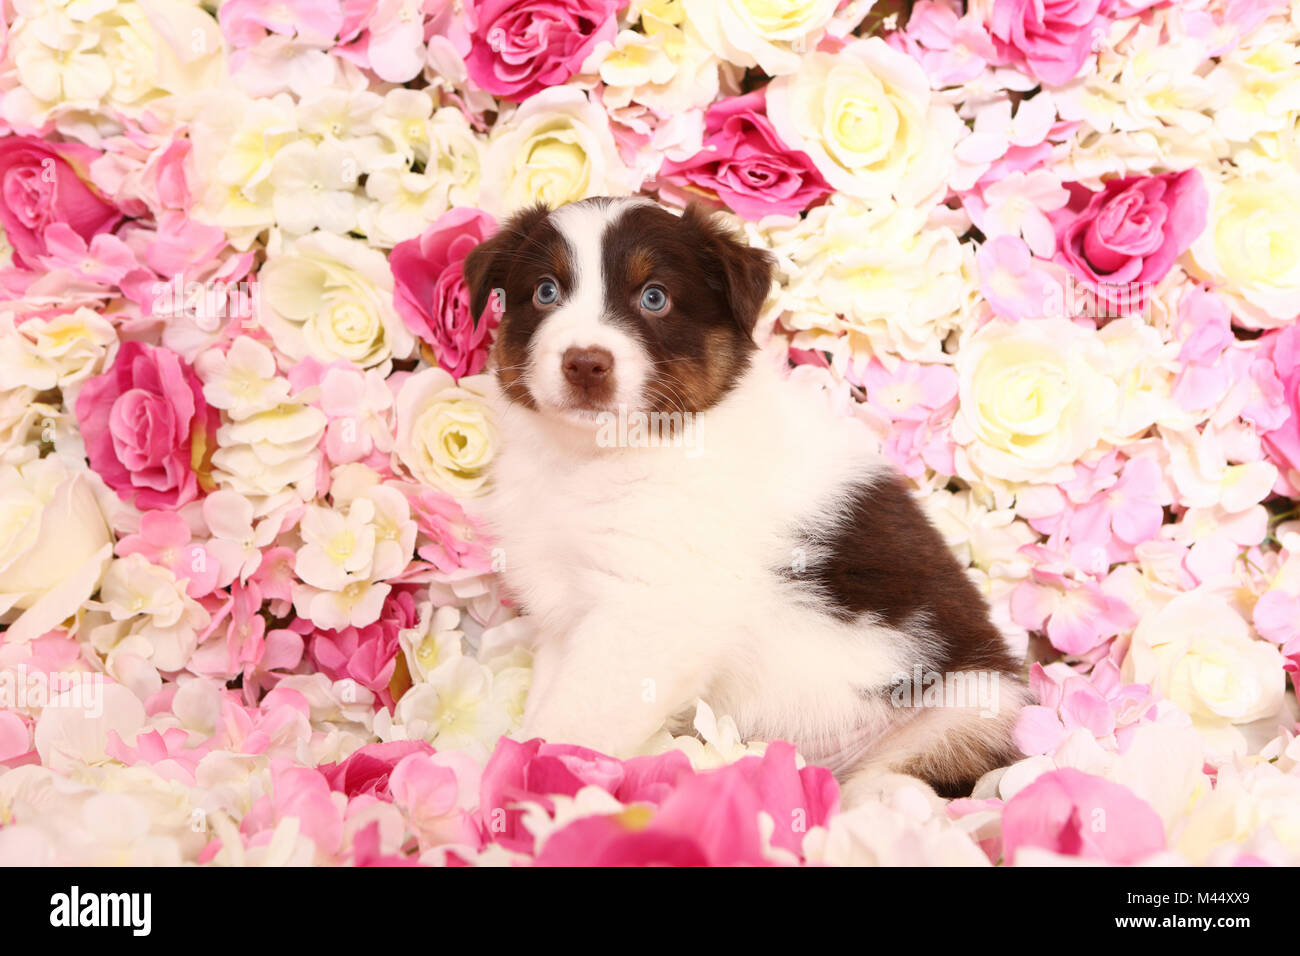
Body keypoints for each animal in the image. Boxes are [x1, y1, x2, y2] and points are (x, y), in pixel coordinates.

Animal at [465, 197, 1024, 806]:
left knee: (907, 780)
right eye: (546, 292)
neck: (594, 459)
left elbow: (573, 720)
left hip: (963, 712)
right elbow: (547, 700)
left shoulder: (650, 610)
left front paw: (520, 788)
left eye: (654, 298)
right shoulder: (565, 611)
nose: (585, 362)